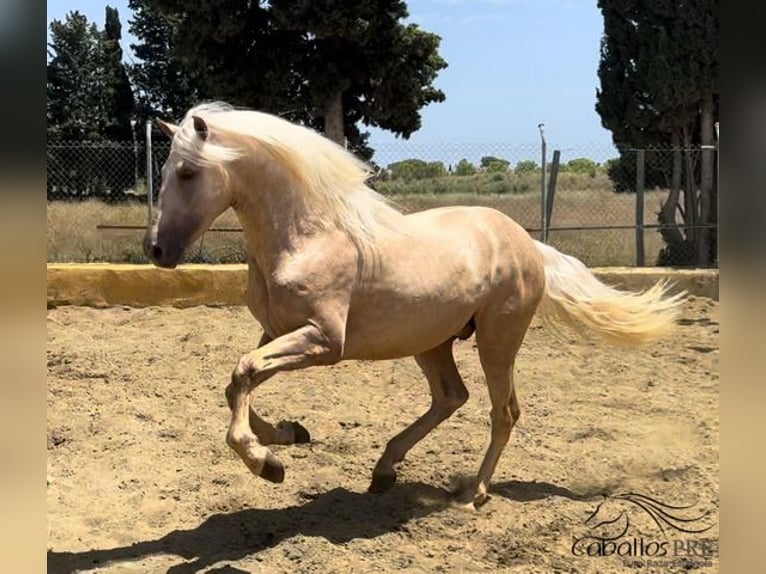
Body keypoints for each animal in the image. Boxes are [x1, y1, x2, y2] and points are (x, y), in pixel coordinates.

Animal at [144, 102, 684, 508]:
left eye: (188, 172)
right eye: (165, 170)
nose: (156, 250)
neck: (306, 236)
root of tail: (528, 244)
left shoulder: (325, 341)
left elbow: (242, 373)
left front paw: (266, 464)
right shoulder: (277, 332)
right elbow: (238, 381)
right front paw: (288, 435)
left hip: (497, 340)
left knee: (503, 411)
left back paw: (473, 493)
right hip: (432, 341)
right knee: (451, 397)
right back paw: (385, 470)